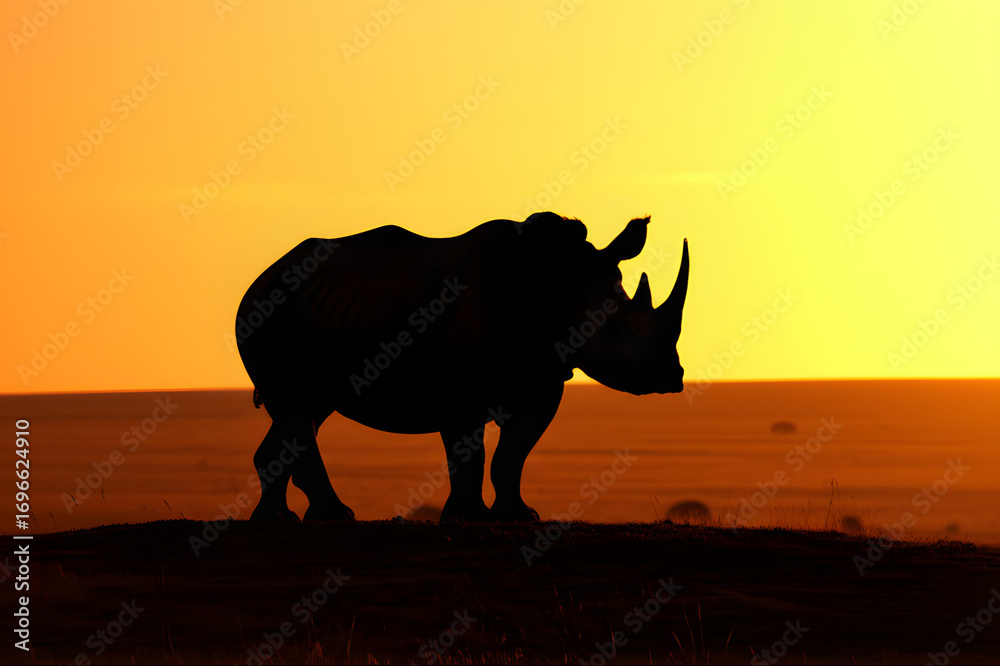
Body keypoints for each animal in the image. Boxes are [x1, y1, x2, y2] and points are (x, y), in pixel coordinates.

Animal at [236, 211, 688, 523]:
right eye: (613, 330)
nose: (671, 377)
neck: (555, 289)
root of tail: (261, 277)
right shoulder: (459, 389)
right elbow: (469, 452)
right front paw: (468, 517)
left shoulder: (544, 378)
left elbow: (513, 452)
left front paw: (517, 516)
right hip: (265, 312)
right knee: (294, 408)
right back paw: (333, 516)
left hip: (323, 306)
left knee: (306, 411)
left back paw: (278, 519)